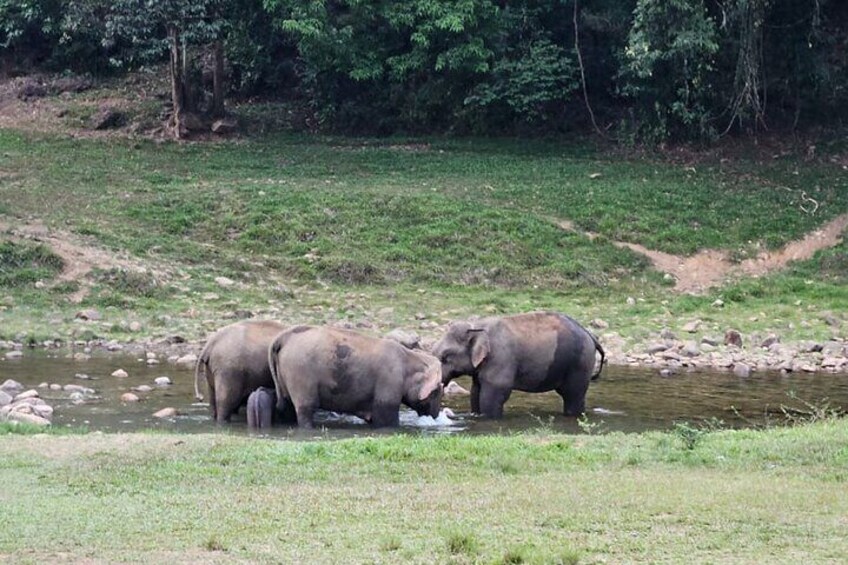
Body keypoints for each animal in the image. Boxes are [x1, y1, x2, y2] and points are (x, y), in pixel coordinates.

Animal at [270, 324, 444, 426]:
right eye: (438, 391)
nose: (436, 416)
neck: (410, 356)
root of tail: (284, 338)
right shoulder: (390, 380)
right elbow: (386, 418)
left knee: (287, 407)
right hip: (300, 374)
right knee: (306, 408)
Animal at [430, 310, 604, 416]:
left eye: (445, 357)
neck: (477, 327)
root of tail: (591, 335)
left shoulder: (499, 359)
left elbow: (492, 395)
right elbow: (475, 392)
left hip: (580, 364)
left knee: (573, 395)